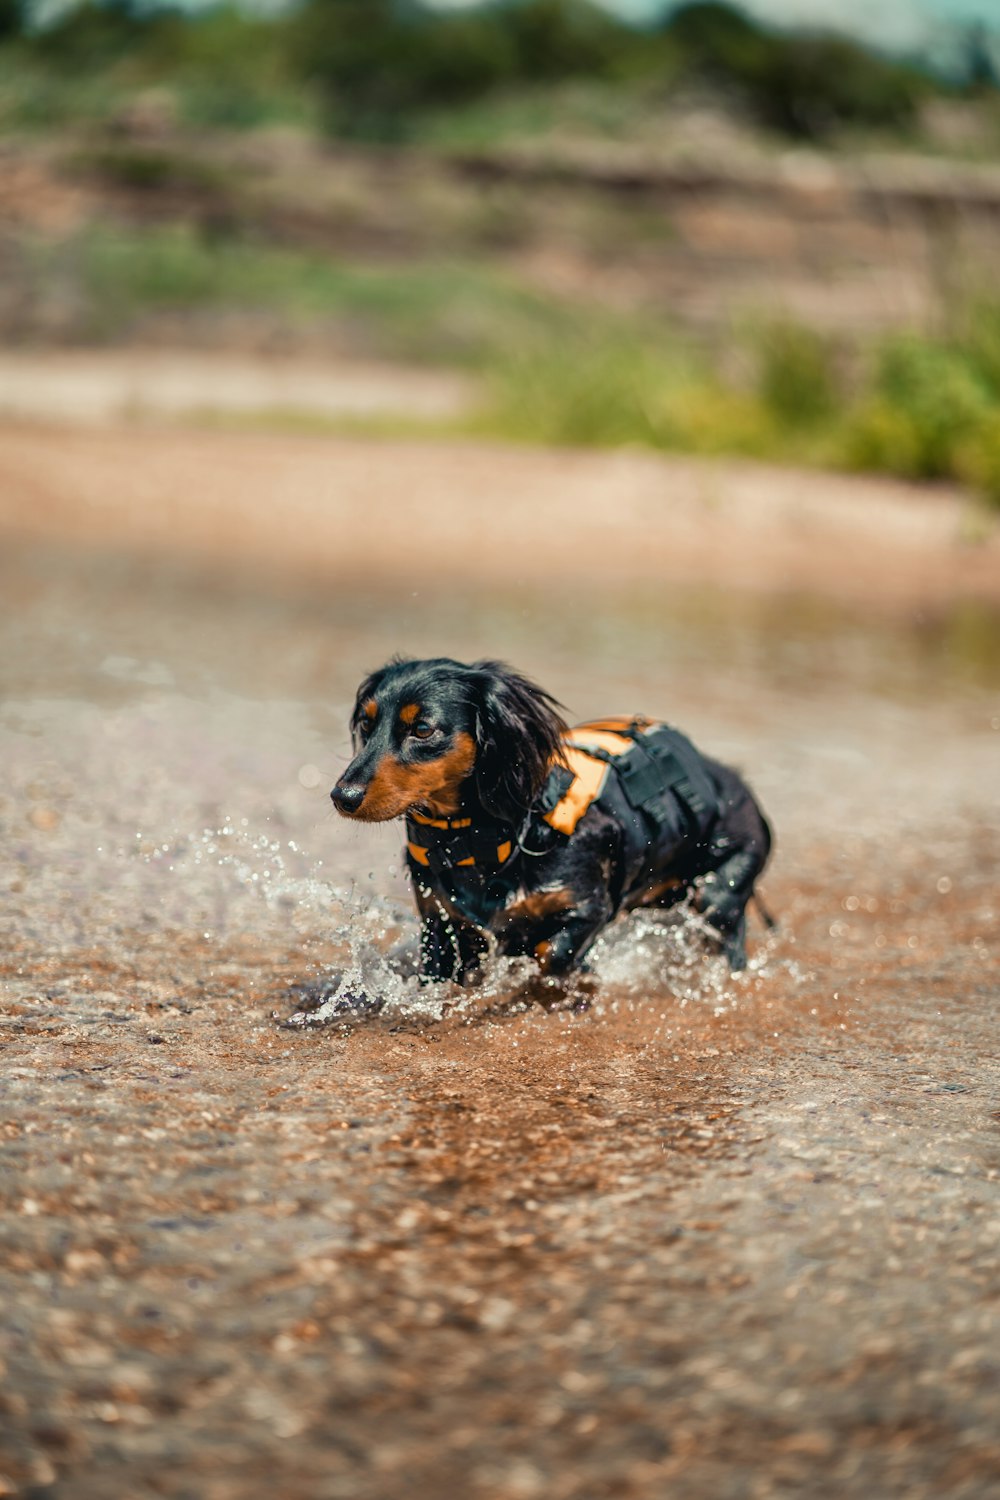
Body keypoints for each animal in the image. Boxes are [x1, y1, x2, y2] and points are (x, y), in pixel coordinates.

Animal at [329, 654, 773, 984]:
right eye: (367, 722)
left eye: (422, 729)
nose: (342, 797)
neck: (480, 841)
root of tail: (731, 778)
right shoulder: (440, 924)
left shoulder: (590, 908)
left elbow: (550, 953)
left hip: (719, 891)